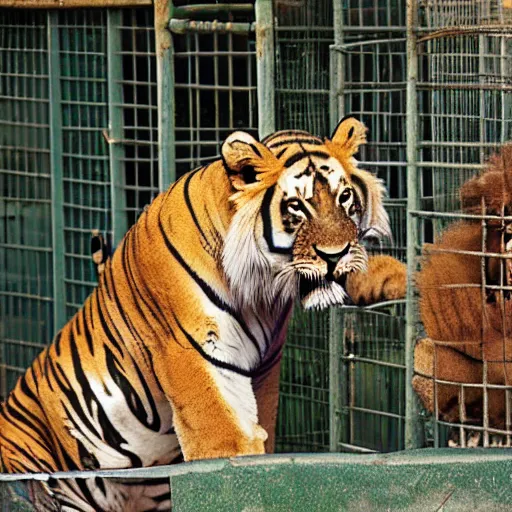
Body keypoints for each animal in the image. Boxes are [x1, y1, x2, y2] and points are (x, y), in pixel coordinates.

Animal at [0, 118, 400, 510]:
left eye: (344, 197)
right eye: (297, 207)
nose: (337, 255)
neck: (262, 291)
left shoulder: (265, 368)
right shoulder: (191, 351)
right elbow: (223, 450)